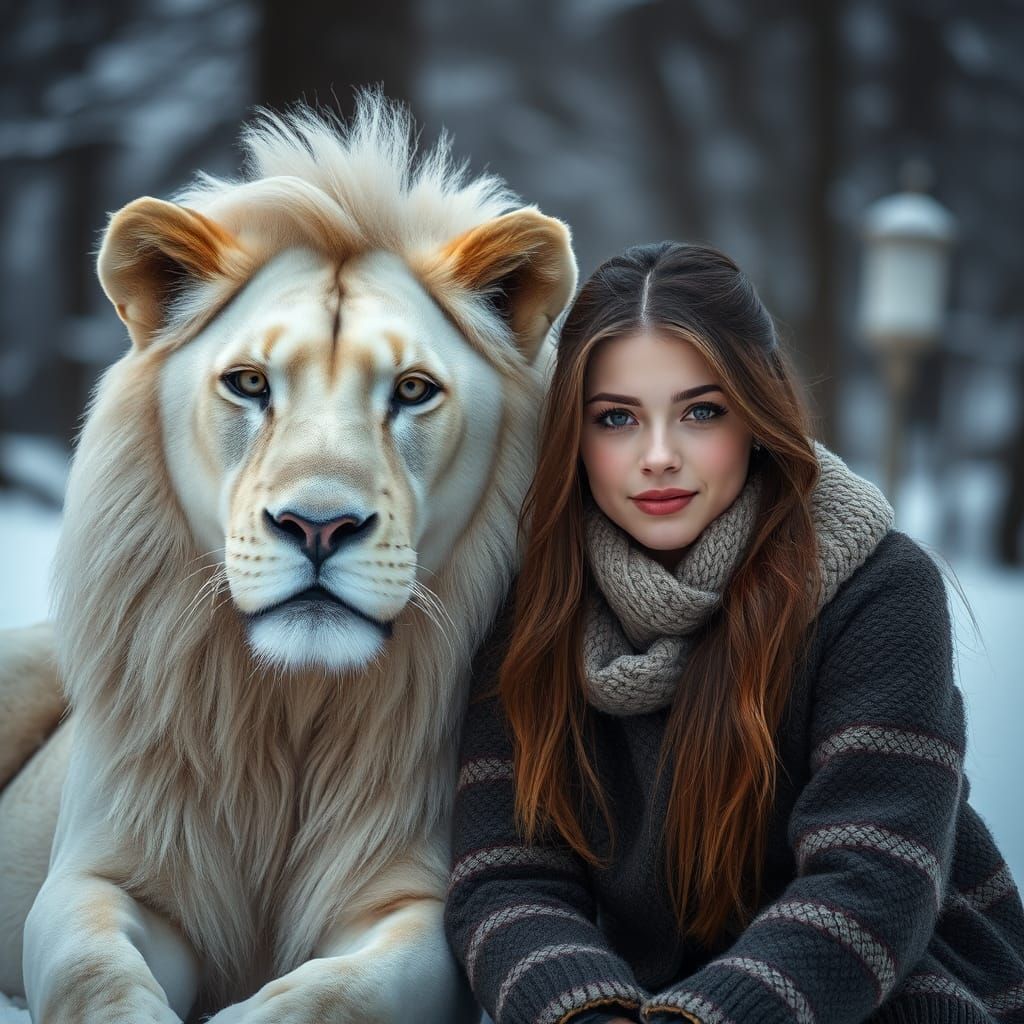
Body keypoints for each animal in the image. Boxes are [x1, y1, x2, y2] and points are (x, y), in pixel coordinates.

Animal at [0, 95, 576, 1023]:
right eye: (248, 383)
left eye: (412, 390)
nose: (316, 526)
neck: (290, 709)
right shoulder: (105, 875)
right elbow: (96, 975)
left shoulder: (420, 899)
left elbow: (339, 990)